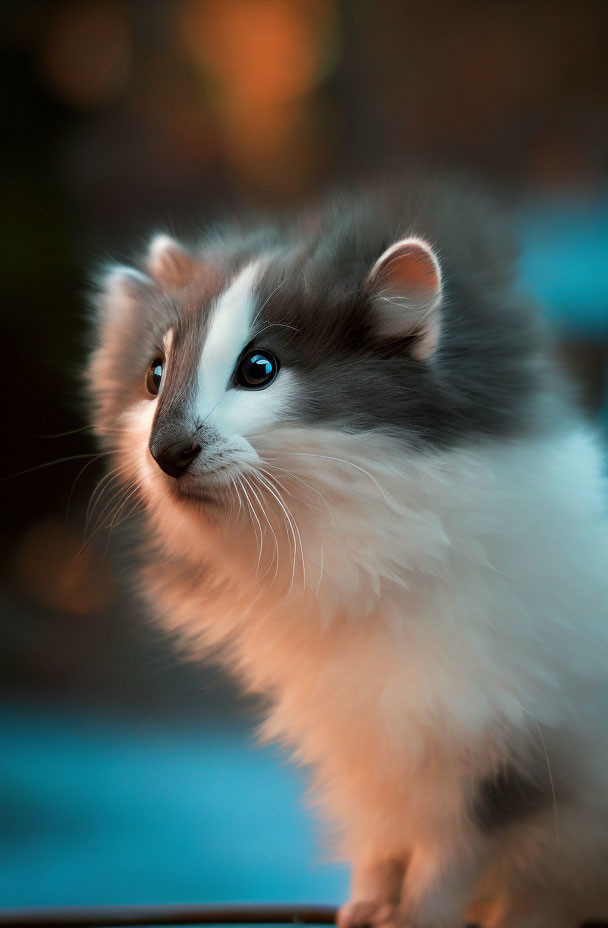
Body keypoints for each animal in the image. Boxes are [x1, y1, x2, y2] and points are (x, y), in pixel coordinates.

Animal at [86, 181, 608, 928]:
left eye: (259, 369)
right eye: (154, 376)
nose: (167, 452)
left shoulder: (491, 754)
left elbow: (447, 861)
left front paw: (414, 917)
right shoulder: (365, 744)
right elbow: (383, 848)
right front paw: (364, 909)